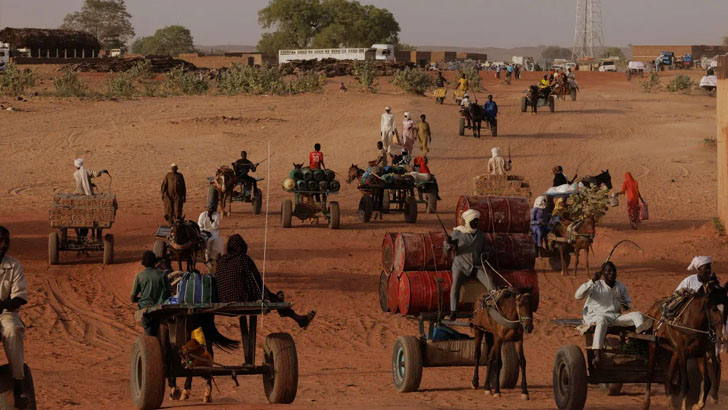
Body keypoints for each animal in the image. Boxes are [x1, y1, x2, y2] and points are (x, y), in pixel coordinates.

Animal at [644, 282, 728, 410]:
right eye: (713, 309)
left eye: (726, 309)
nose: (723, 337)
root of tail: (652, 308)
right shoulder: (683, 354)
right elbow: (685, 383)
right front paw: (684, 407)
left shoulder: (700, 353)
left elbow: (707, 382)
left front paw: (698, 405)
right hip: (653, 345)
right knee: (650, 373)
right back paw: (646, 403)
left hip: (674, 352)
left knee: (668, 378)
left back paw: (671, 405)